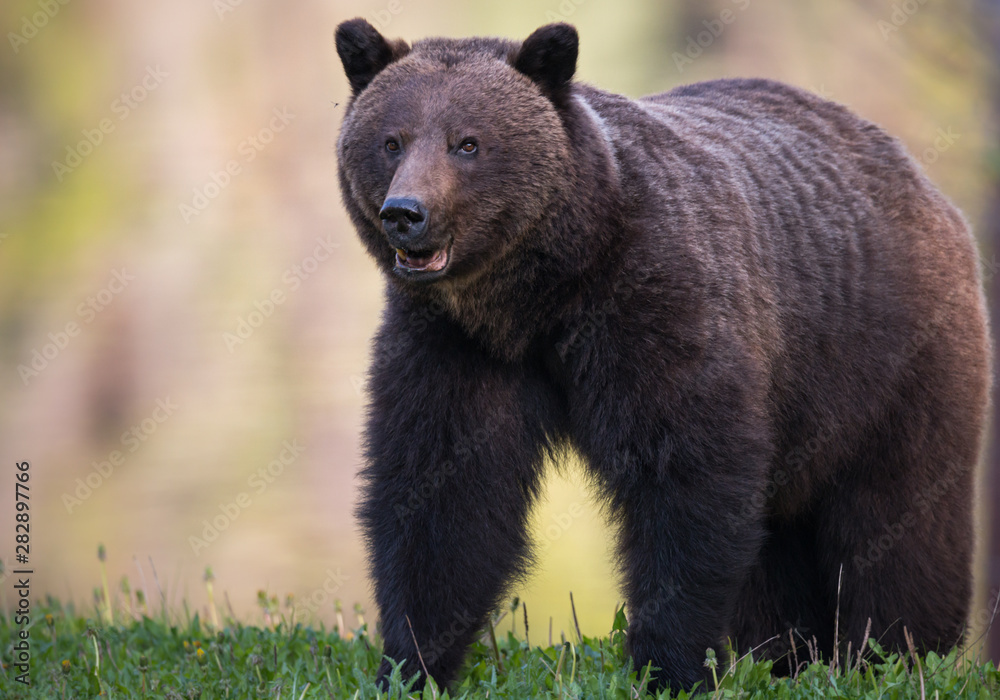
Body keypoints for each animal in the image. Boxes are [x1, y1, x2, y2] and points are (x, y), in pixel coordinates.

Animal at [334, 19, 992, 692]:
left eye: (467, 142)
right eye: (391, 141)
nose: (406, 213)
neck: (540, 293)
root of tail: (920, 180)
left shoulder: (655, 302)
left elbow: (684, 478)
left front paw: (670, 665)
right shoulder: (454, 345)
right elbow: (440, 491)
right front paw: (411, 664)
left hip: (886, 355)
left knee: (898, 513)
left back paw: (896, 653)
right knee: (779, 542)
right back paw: (788, 656)